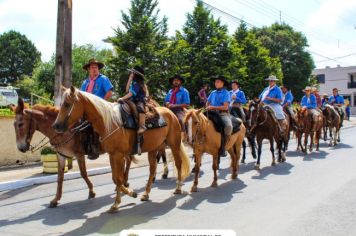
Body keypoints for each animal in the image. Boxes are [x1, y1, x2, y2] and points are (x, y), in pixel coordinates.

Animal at [52, 86, 191, 212]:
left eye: (67, 104)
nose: (56, 126)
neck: (109, 123)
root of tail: (170, 113)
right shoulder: (112, 154)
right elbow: (115, 178)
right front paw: (130, 194)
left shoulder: (118, 155)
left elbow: (118, 178)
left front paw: (116, 203)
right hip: (153, 149)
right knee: (152, 170)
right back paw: (146, 194)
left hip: (174, 145)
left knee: (178, 163)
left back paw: (178, 188)